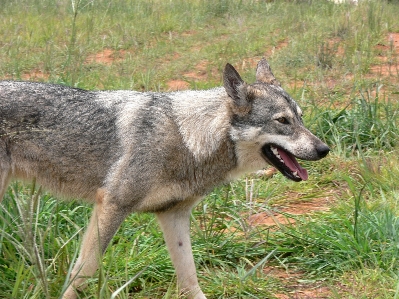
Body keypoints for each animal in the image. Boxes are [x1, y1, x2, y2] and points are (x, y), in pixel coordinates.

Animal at [0, 59, 332, 299]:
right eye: (283, 121)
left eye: (301, 118)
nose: (324, 149)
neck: (187, 139)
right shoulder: (112, 205)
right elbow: (84, 272)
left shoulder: (173, 215)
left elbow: (190, 279)